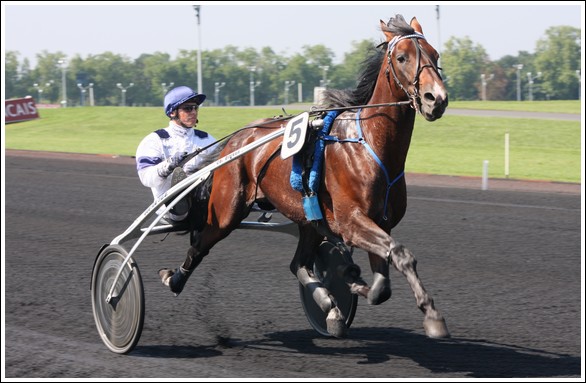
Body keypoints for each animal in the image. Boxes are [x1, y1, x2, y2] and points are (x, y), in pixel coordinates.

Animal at [159, 14, 448, 340]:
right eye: (402, 57)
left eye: (435, 55)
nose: (436, 99)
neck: (370, 145)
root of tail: (235, 140)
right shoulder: (352, 222)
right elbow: (400, 254)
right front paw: (432, 316)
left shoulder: (379, 222)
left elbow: (381, 286)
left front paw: (349, 282)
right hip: (227, 211)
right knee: (200, 244)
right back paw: (173, 279)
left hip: (307, 218)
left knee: (298, 263)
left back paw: (329, 307)